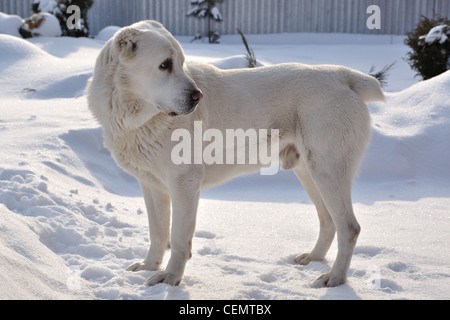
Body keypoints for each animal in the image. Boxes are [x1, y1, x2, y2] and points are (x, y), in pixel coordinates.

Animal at [86, 20, 384, 286]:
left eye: (180, 63)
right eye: (164, 65)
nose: (198, 97)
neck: (136, 118)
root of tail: (343, 76)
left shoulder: (184, 183)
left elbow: (179, 237)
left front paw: (170, 279)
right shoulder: (151, 186)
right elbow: (158, 232)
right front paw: (149, 266)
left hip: (327, 171)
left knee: (349, 227)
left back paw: (335, 278)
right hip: (310, 173)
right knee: (328, 221)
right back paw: (314, 258)